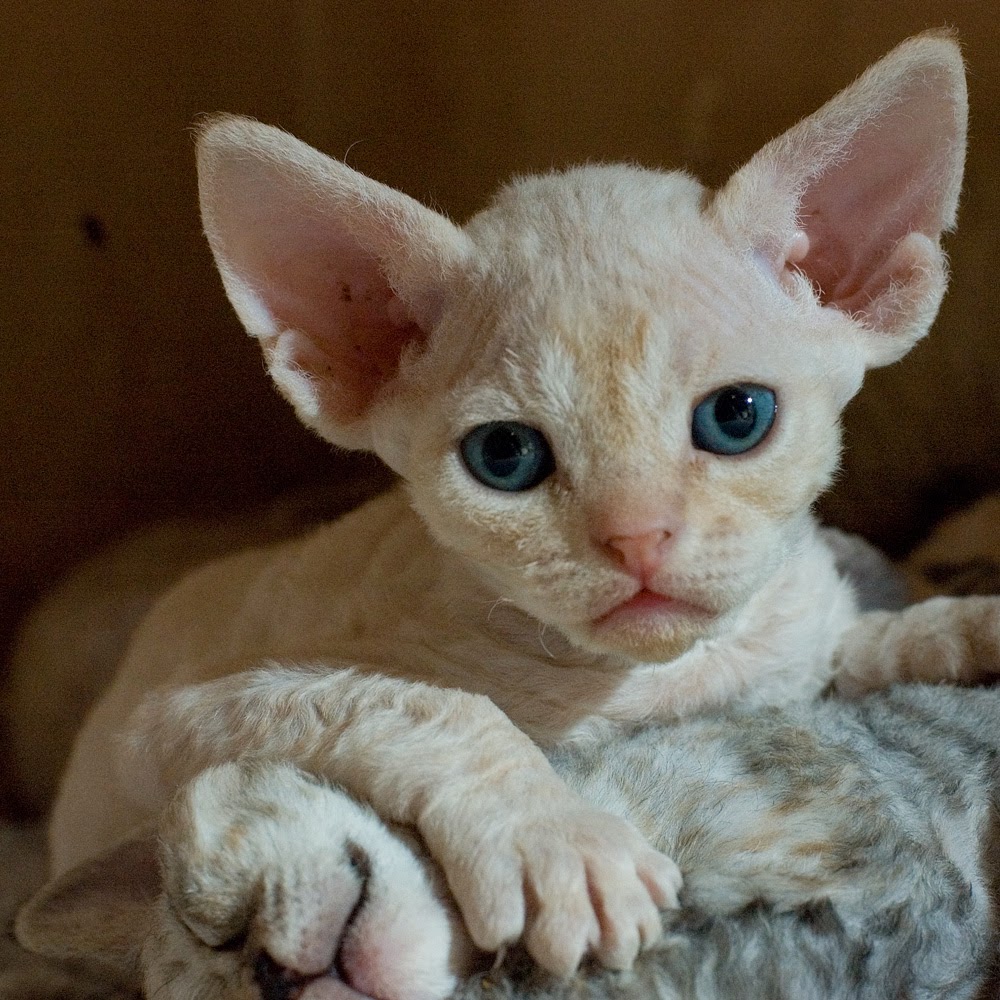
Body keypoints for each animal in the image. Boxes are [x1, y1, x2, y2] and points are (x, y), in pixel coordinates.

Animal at [47, 27, 984, 980]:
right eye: (505, 457)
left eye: (736, 417)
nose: (638, 538)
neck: (659, 684)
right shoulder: (166, 719)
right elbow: (418, 701)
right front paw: (559, 841)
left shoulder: (791, 643)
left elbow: (849, 642)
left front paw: (955, 628)